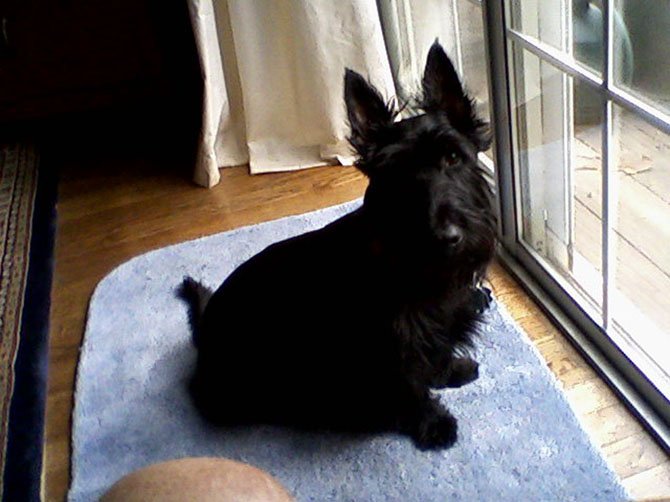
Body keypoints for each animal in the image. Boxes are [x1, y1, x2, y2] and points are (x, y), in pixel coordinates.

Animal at [181, 43, 496, 450]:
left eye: (453, 157)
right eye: (396, 172)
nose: (446, 237)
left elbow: (436, 355)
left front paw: (452, 369)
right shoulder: (388, 349)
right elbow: (409, 388)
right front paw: (433, 423)